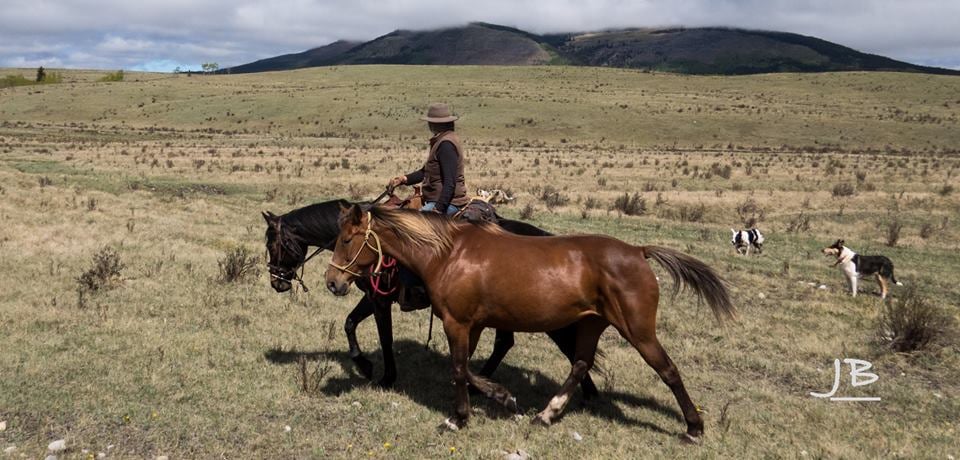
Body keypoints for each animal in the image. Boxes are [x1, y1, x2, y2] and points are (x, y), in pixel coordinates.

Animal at [262, 199, 599, 396]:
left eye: (273, 244)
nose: (277, 283)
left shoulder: (380, 298)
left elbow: (384, 336)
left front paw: (386, 377)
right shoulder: (371, 297)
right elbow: (349, 323)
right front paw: (364, 365)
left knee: (567, 347)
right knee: (506, 343)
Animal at [325, 205, 735, 442]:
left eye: (346, 239)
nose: (332, 282)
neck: (448, 253)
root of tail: (638, 251)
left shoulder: (457, 323)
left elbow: (458, 368)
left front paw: (459, 418)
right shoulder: (472, 324)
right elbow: (468, 368)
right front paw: (502, 398)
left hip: (638, 330)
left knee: (668, 371)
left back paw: (693, 428)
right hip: (591, 324)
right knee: (580, 364)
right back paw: (547, 414)